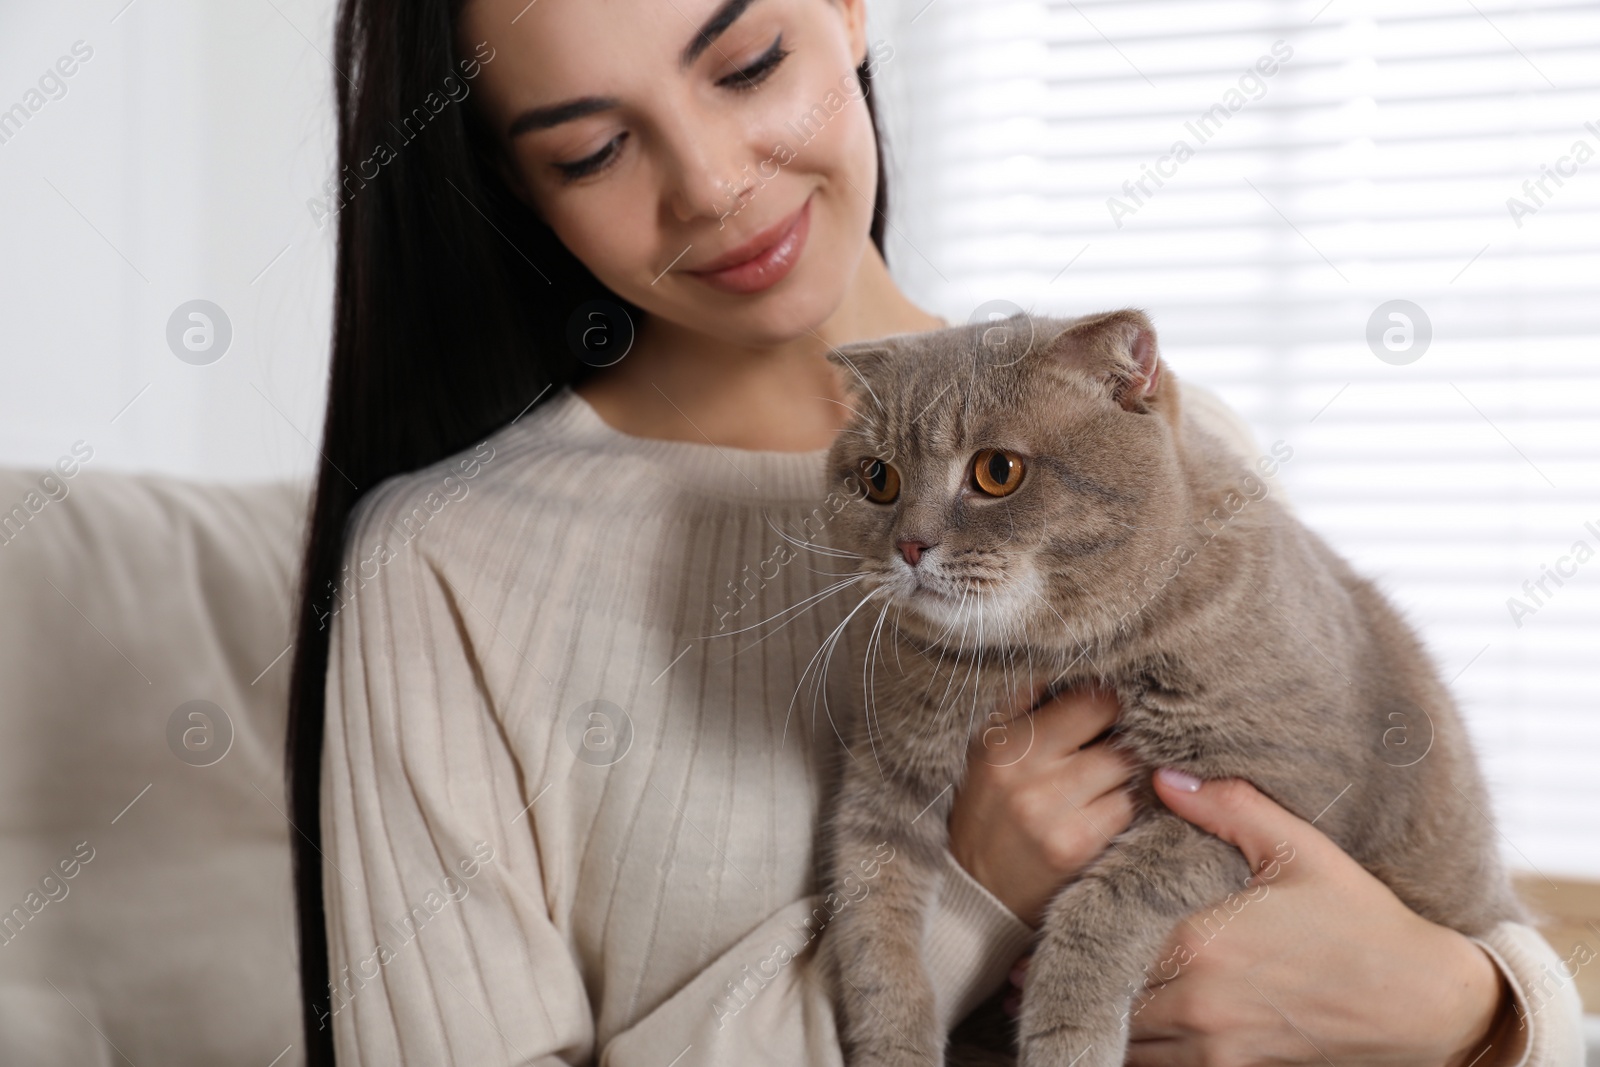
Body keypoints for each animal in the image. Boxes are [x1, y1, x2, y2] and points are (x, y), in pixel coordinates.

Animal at [812, 308, 1523, 1067]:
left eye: (997, 471)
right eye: (877, 478)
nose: (909, 545)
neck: (1034, 655)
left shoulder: (1264, 794)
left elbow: (1105, 903)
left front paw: (1069, 1041)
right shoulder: (888, 775)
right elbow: (874, 930)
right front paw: (894, 1044)